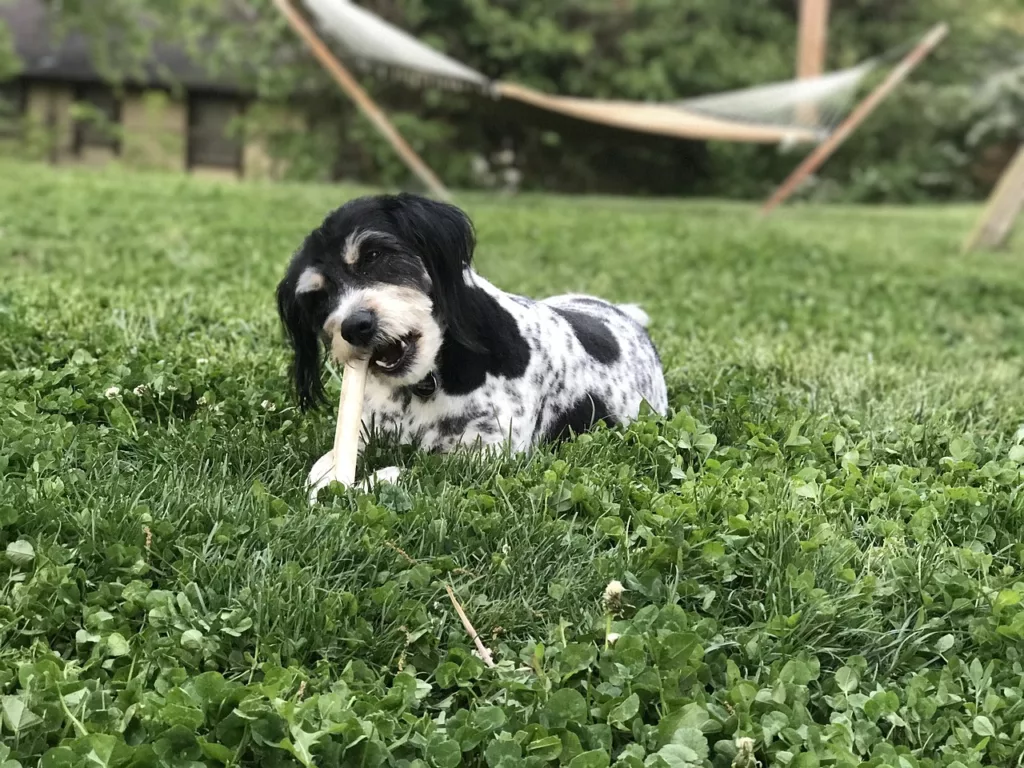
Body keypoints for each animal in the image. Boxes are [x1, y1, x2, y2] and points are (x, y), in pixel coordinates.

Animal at [276, 192, 667, 499]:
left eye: (374, 254)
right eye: (316, 298)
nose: (355, 327)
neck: (428, 383)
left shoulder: (488, 454)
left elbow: (420, 471)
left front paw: (368, 482)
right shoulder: (367, 433)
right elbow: (323, 465)